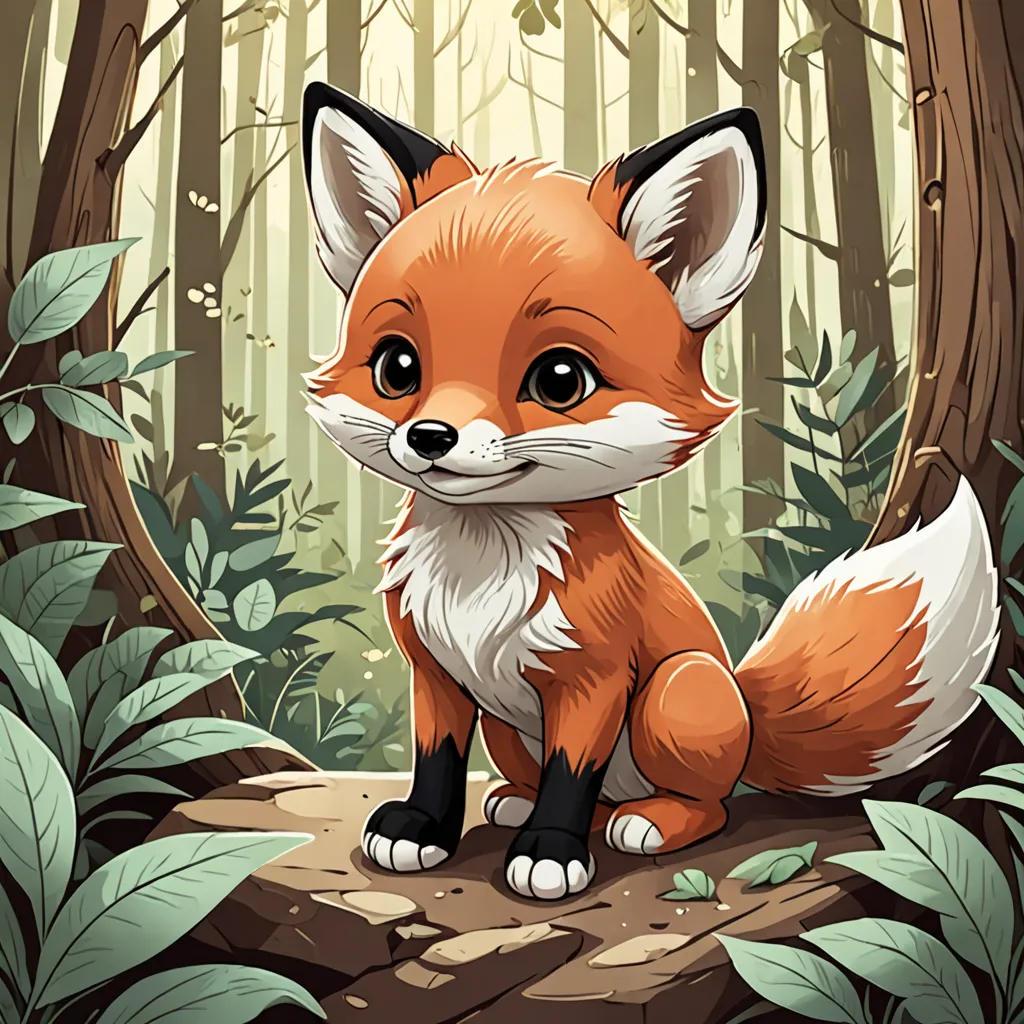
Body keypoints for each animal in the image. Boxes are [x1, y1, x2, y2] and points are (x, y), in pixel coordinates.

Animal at [299, 81, 1000, 902]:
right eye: (397, 368)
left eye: (560, 380)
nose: (431, 437)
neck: (480, 571)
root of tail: (749, 715)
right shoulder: (435, 672)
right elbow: (437, 760)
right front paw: (423, 829)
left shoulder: (595, 679)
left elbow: (572, 774)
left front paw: (551, 852)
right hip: (512, 726)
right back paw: (515, 802)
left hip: (676, 691)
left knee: (707, 807)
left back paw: (647, 823)